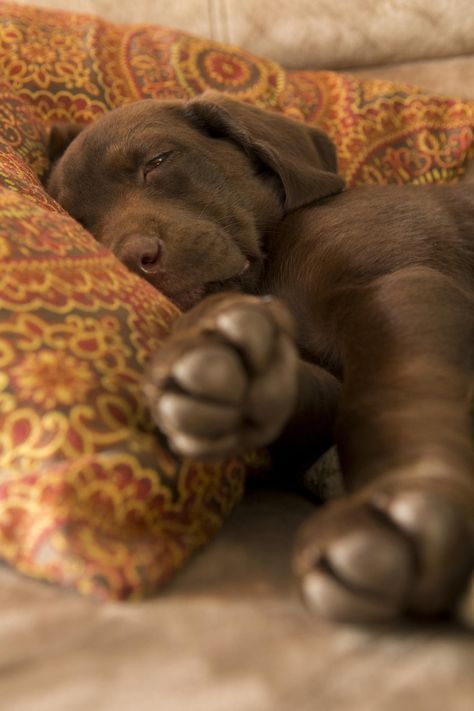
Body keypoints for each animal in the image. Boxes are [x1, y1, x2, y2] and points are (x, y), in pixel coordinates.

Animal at [45, 92, 474, 620]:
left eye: (158, 161)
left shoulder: (404, 287)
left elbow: (395, 397)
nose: (136, 260)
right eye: (80, 223)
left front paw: (397, 503)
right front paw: (219, 359)